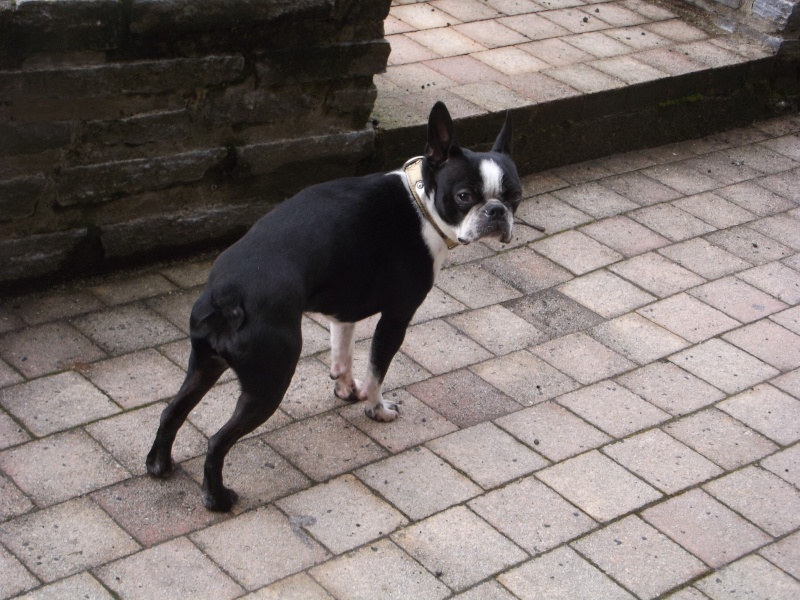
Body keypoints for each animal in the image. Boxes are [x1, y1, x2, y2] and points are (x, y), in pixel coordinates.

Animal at [146, 102, 520, 510]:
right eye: (465, 196)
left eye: (514, 195)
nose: (497, 211)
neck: (421, 204)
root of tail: (226, 295)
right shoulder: (396, 318)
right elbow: (376, 371)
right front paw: (376, 408)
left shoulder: (344, 311)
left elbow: (343, 354)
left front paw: (346, 388)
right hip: (270, 379)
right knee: (217, 441)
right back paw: (217, 498)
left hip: (205, 363)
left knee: (171, 411)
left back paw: (159, 465)